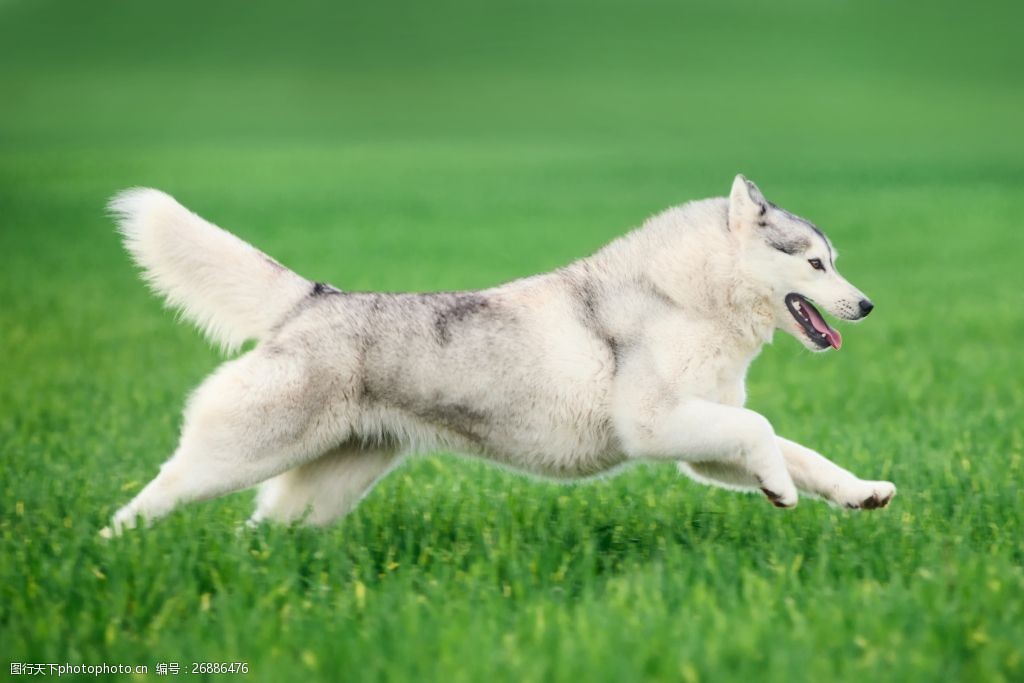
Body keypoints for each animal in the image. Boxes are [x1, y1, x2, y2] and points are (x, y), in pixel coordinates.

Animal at [97, 178, 897, 540]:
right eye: (817, 264)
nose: (866, 306)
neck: (687, 299)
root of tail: (312, 298)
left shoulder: (704, 442)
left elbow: (796, 449)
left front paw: (860, 492)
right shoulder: (658, 426)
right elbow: (766, 434)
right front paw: (781, 493)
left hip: (322, 490)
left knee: (259, 533)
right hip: (240, 451)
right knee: (156, 495)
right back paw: (111, 551)